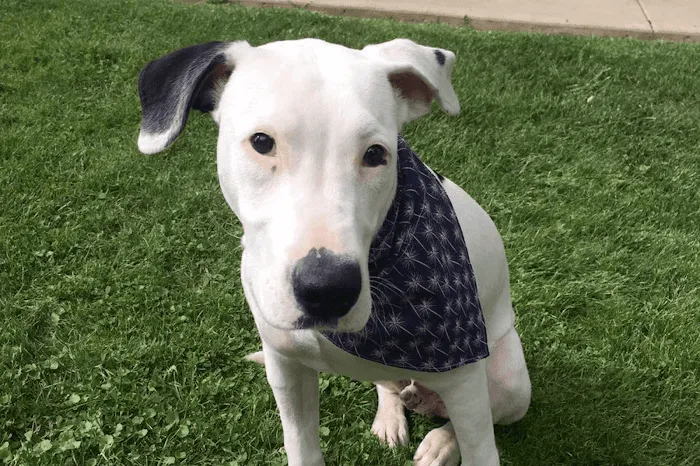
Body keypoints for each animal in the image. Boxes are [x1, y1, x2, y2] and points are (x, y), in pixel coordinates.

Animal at [137, 38, 531, 466]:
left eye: (376, 153)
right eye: (262, 142)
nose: (327, 289)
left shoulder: (465, 384)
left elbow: (478, 441)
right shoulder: (287, 371)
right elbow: (302, 445)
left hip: (509, 381)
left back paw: (441, 442)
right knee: (389, 386)